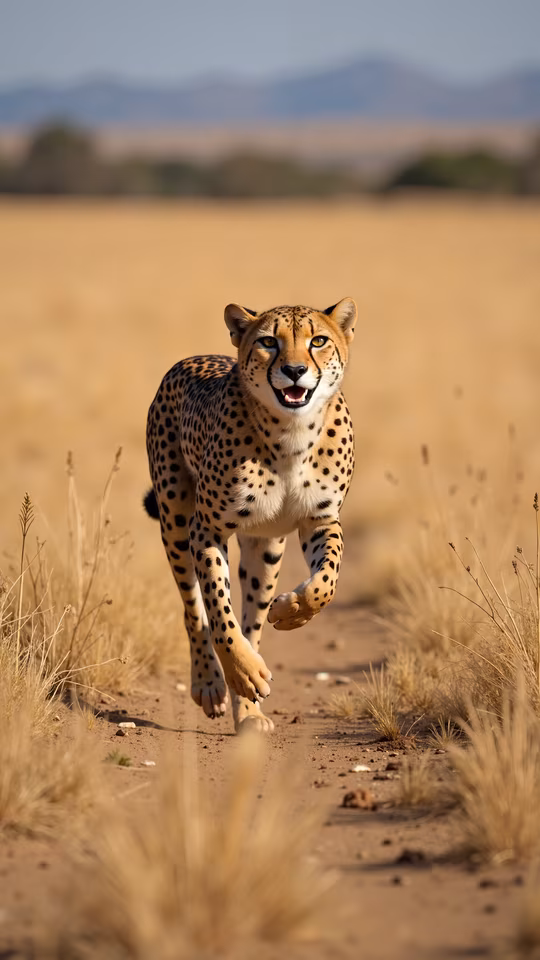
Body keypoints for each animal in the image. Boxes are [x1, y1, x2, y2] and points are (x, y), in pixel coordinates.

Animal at [144, 298, 356, 733]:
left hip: (266, 547)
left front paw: (293, 612)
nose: (295, 370)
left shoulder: (320, 521)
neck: (292, 434)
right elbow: (219, 612)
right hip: (175, 520)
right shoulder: (206, 528)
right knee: (194, 609)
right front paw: (241, 672)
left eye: (319, 340)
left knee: (253, 621)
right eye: (268, 342)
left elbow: (325, 583)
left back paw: (250, 710)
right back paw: (213, 683)